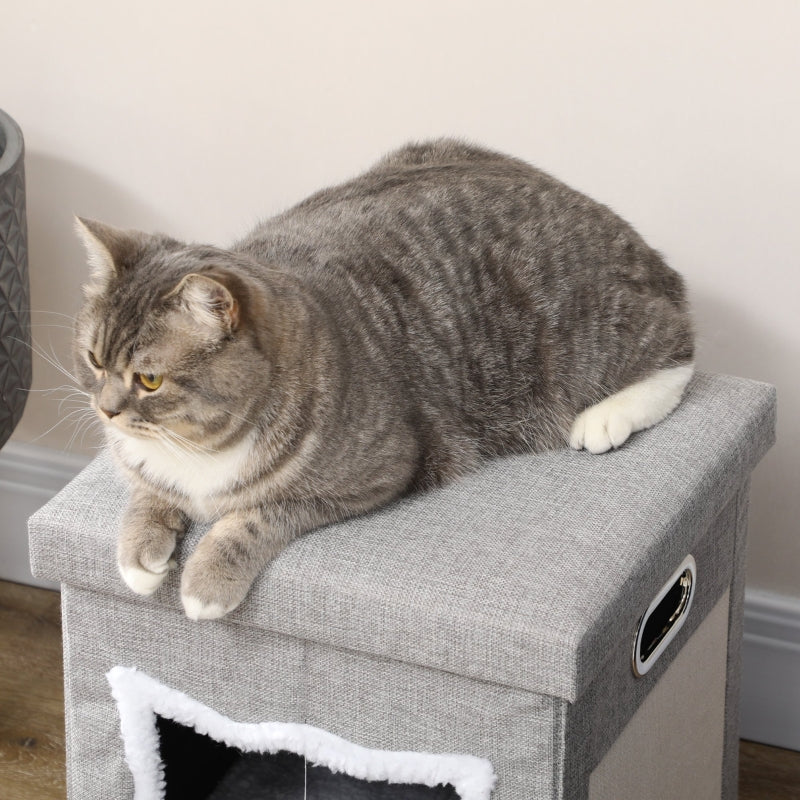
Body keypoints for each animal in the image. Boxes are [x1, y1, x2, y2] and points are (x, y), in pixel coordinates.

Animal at [72, 141, 692, 620]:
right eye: (95, 360)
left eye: (150, 379)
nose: (106, 410)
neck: (199, 450)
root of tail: (633, 239)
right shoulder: (143, 460)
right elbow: (147, 491)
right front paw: (140, 552)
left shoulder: (376, 473)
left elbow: (256, 517)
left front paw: (206, 580)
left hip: (579, 335)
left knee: (677, 346)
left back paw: (605, 417)